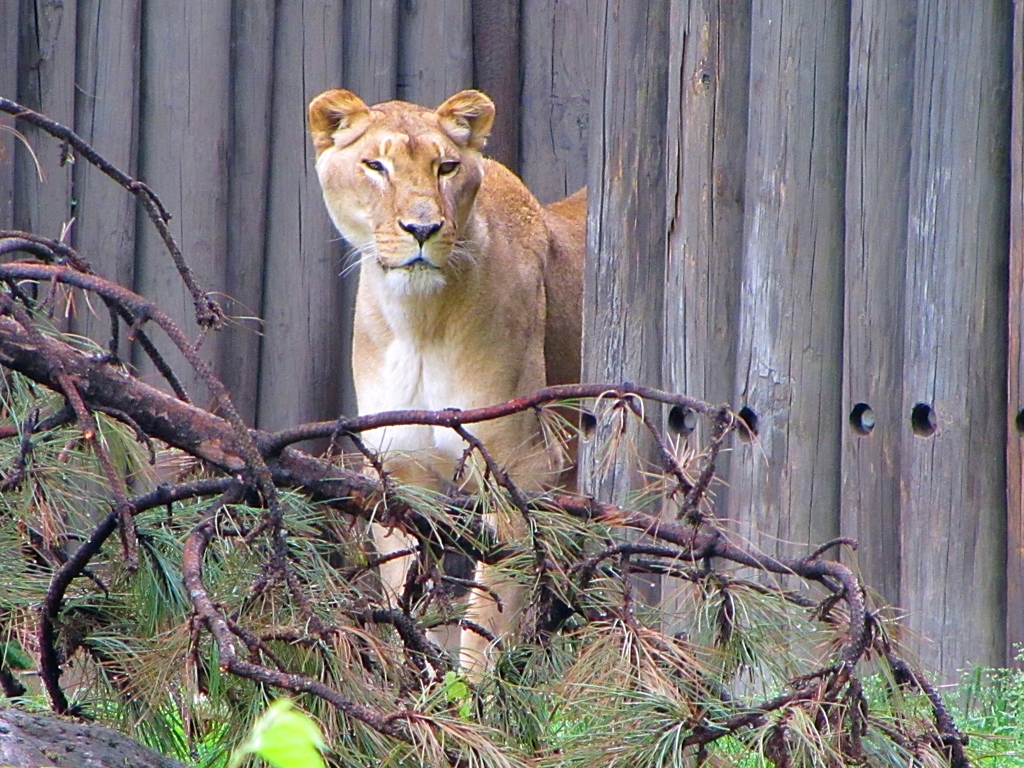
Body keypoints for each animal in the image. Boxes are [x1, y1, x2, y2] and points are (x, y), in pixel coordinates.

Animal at [308, 88, 585, 673]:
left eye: (447, 167)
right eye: (376, 165)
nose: (422, 229)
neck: (419, 321)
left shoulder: (519, 471)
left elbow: (486, 623)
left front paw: (473, 692)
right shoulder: (401, 472)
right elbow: (408, 600)